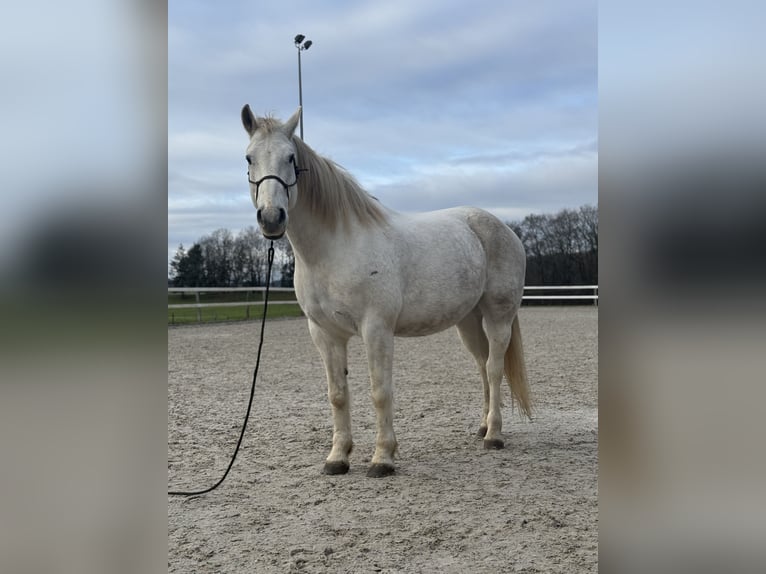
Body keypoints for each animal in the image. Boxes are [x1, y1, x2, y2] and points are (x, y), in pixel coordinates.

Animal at [243, 106, 532, 480]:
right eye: (249, 158)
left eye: (291, 158)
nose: (271, 218)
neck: (335, 248)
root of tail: (504, 229)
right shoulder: (324, 333)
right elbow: (338, 394)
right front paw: (337, 458)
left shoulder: (376, 329)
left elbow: (380, 392)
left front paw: (382, 458)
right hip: (469, 321)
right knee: (482, 367)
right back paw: (483, 427)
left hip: (498, 317)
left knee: (495, 369)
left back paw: (494, 435)